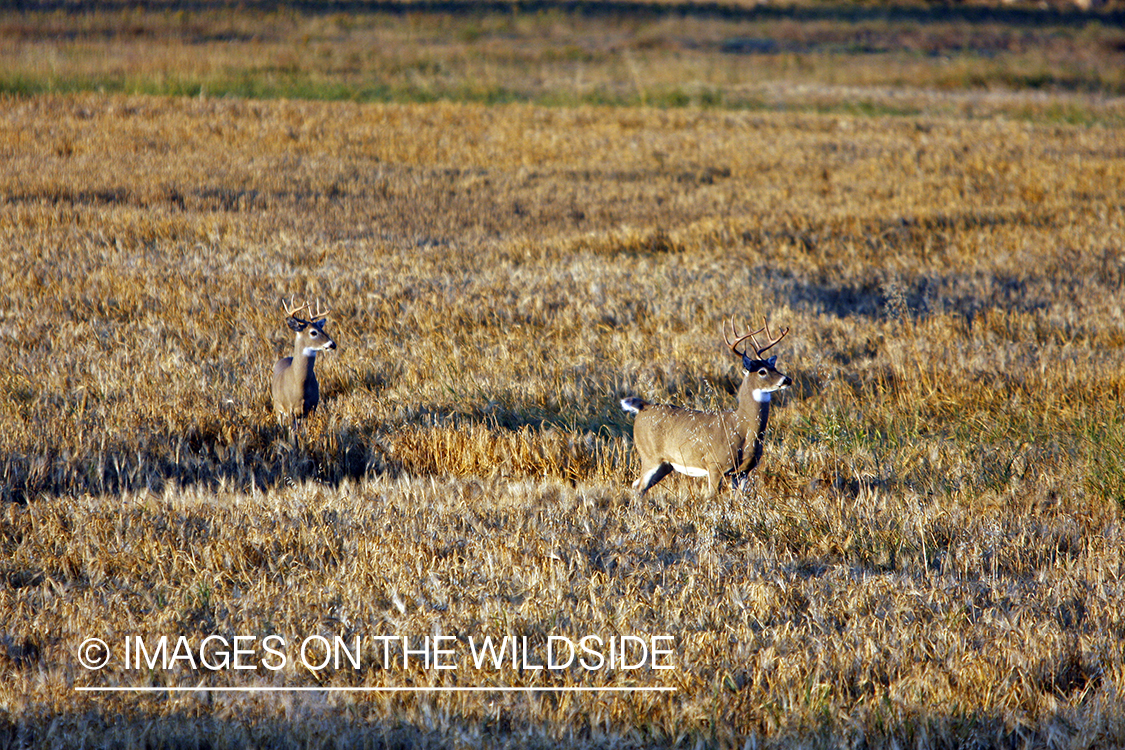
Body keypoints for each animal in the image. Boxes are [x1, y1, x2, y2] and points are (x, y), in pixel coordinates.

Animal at [271, 299, 335, 427]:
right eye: (313, 332)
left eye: (322, 330)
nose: (332, 344)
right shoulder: (289, 409)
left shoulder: (312, 406)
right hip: (277, 406)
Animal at [625, 319, 792, 499]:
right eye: (762, 371)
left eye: (774, 367)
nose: (787, 379)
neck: (742, 428)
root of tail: (643, 406)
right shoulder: (714, 464)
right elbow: (711, 497)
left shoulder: (743, 471)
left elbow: (738, 499)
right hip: (649, 455)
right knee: (639, 486)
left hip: (666, 464)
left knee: (636, 486)